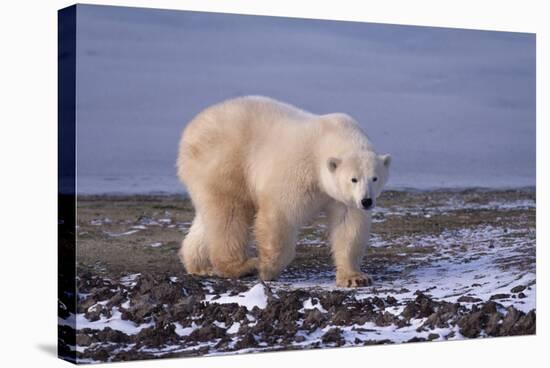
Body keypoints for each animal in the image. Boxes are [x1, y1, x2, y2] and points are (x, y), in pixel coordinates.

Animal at [178, 95, 392, 288]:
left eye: (375, 178)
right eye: (353, 179)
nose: (366, 201)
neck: (326, 138)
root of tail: (191, 129)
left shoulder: (343, 198)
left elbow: (348, 226)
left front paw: (355, 277)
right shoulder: (298, 171)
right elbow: (280, 216)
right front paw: (267, 269)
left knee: (209, 218)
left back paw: (200, 265)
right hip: (225, 160)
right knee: (230, 214)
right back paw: (243, 266)